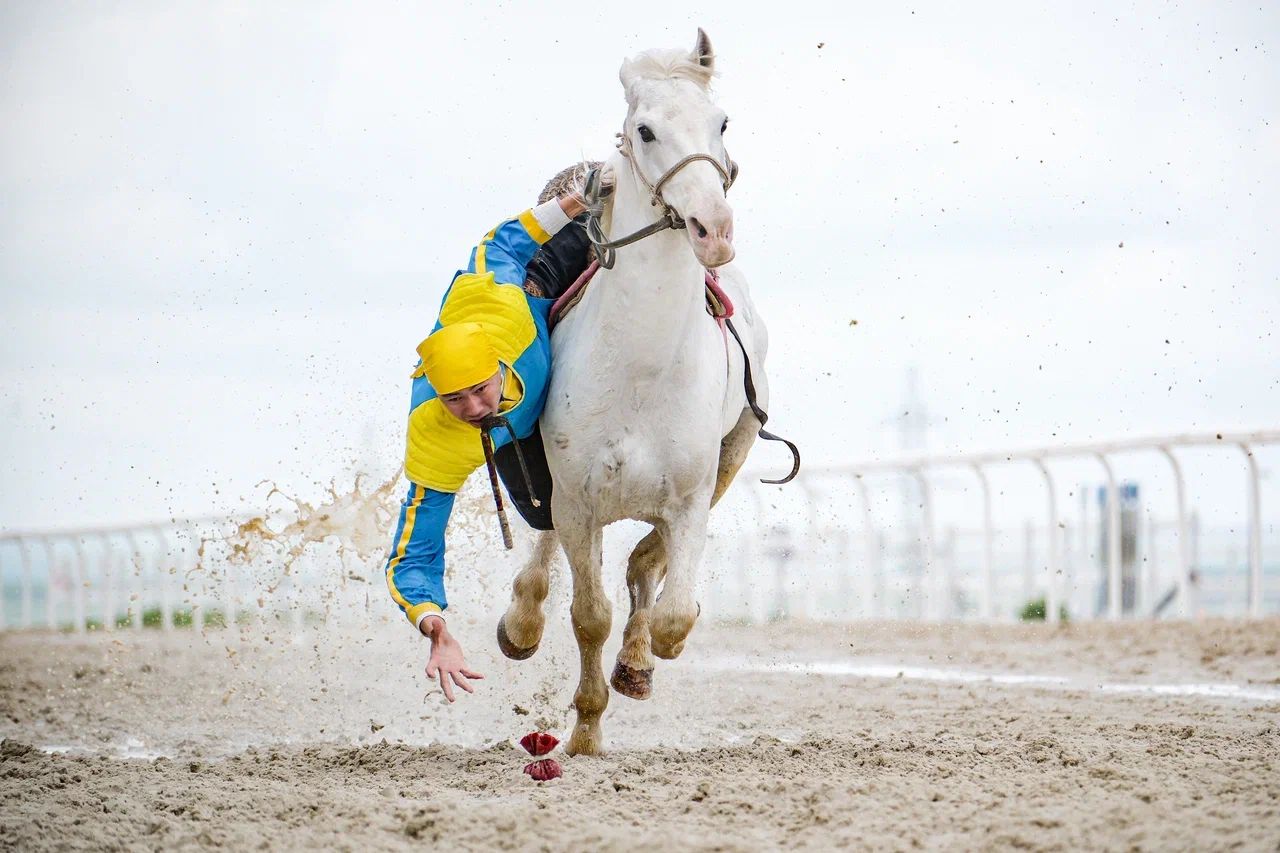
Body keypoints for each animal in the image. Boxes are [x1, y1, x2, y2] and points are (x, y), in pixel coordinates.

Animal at [499, 29, 778, 753]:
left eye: (721, 123)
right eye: (646, 130)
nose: (715, 229)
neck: (641, 370)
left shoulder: (692, 495)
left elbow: (675, 611)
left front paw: (640, 662)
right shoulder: (576, 497)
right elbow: (589, 613)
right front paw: (586, 731)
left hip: (732, 452)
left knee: (646, 567)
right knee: (551, 557)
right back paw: (522, 622)